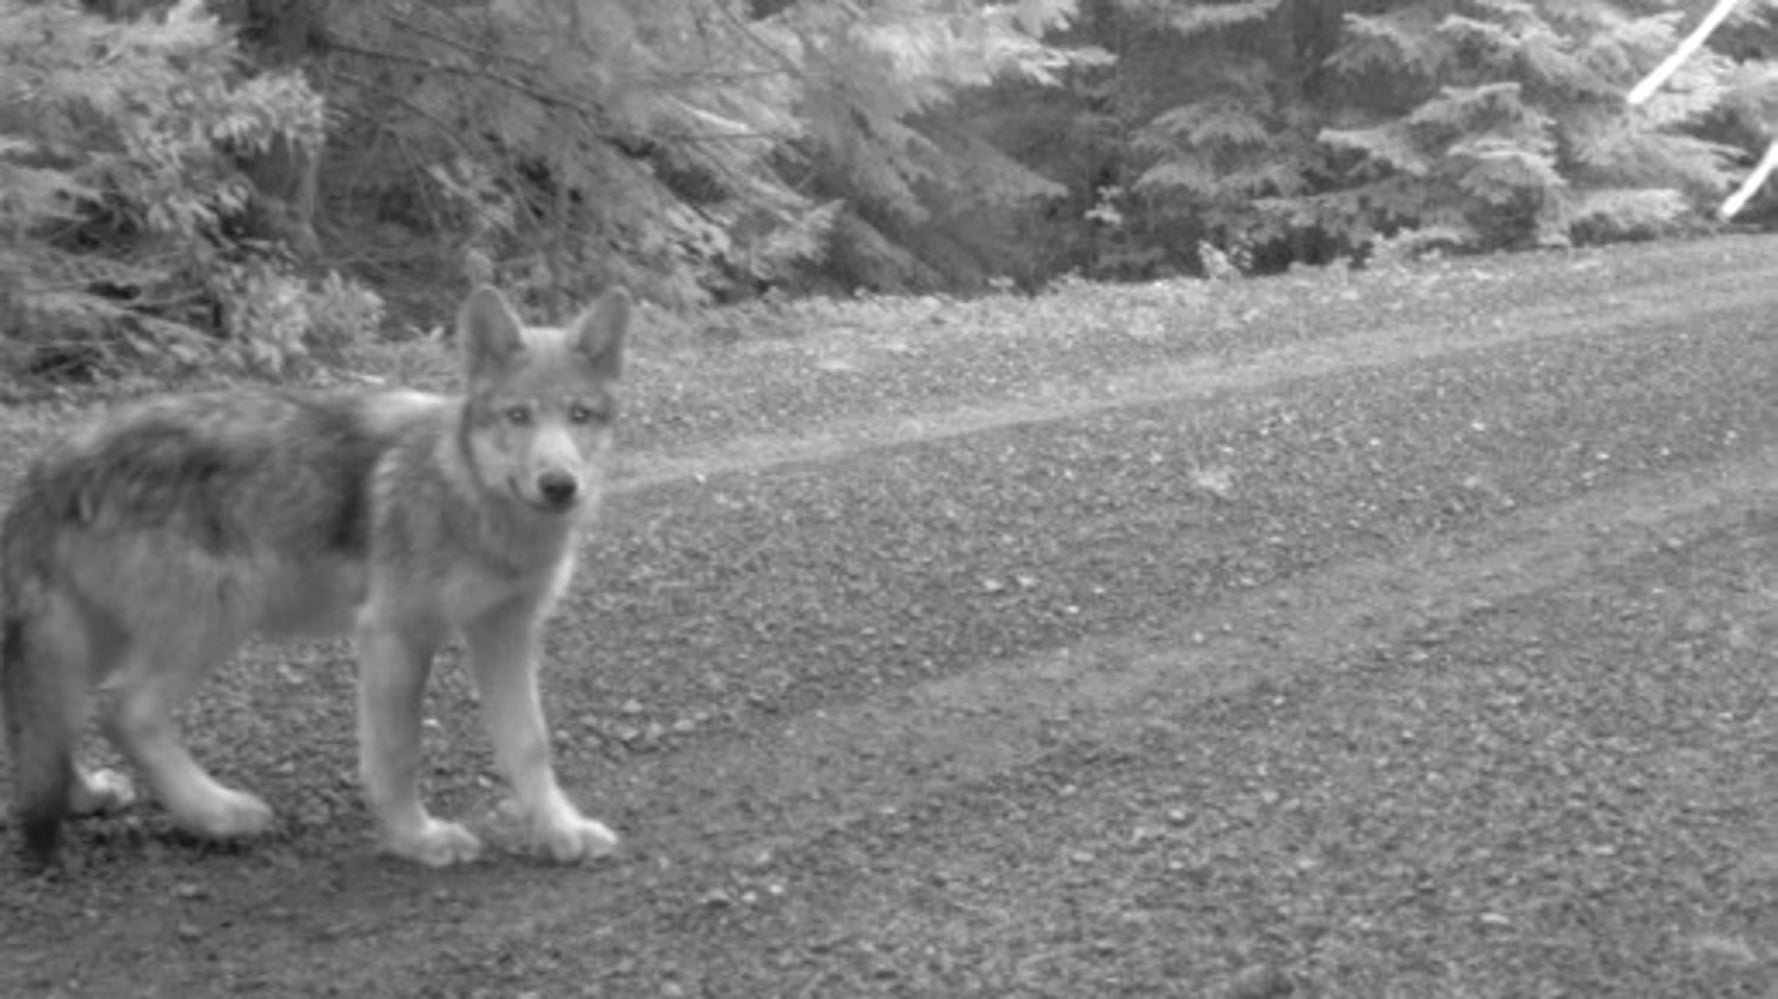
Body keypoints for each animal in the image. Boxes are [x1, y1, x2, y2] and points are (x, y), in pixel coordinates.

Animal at [1, 284, 629, 868]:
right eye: (518, 416)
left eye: (579, 415)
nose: (559, 485)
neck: (471, 497)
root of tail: (57, 460)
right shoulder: (393, 635)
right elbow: (397, 754)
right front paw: (415, 839)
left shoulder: (506, 633)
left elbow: (529, 745)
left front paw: (561, 832)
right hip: (213, 622)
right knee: (122, 711)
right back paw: (217, 814)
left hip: (100, 639)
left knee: (48, 710)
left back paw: (86, 794)